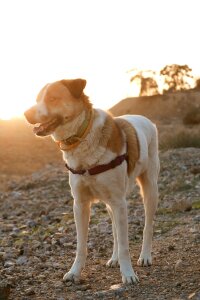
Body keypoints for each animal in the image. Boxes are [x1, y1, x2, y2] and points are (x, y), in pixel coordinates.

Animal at [24, 78, 159, 284]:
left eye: (53, 98)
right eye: (37, 98)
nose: (26, 114)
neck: (83, 137)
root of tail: (146, 120)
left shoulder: (119, 202)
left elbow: (125, 244)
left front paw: (128, 274)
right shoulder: (80, 204)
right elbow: (82, 245)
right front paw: (74, 272)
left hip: (149, 189)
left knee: (147, 226)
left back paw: (145, 256)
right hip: (111, 203)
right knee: (115, 230)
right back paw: (114, 258)